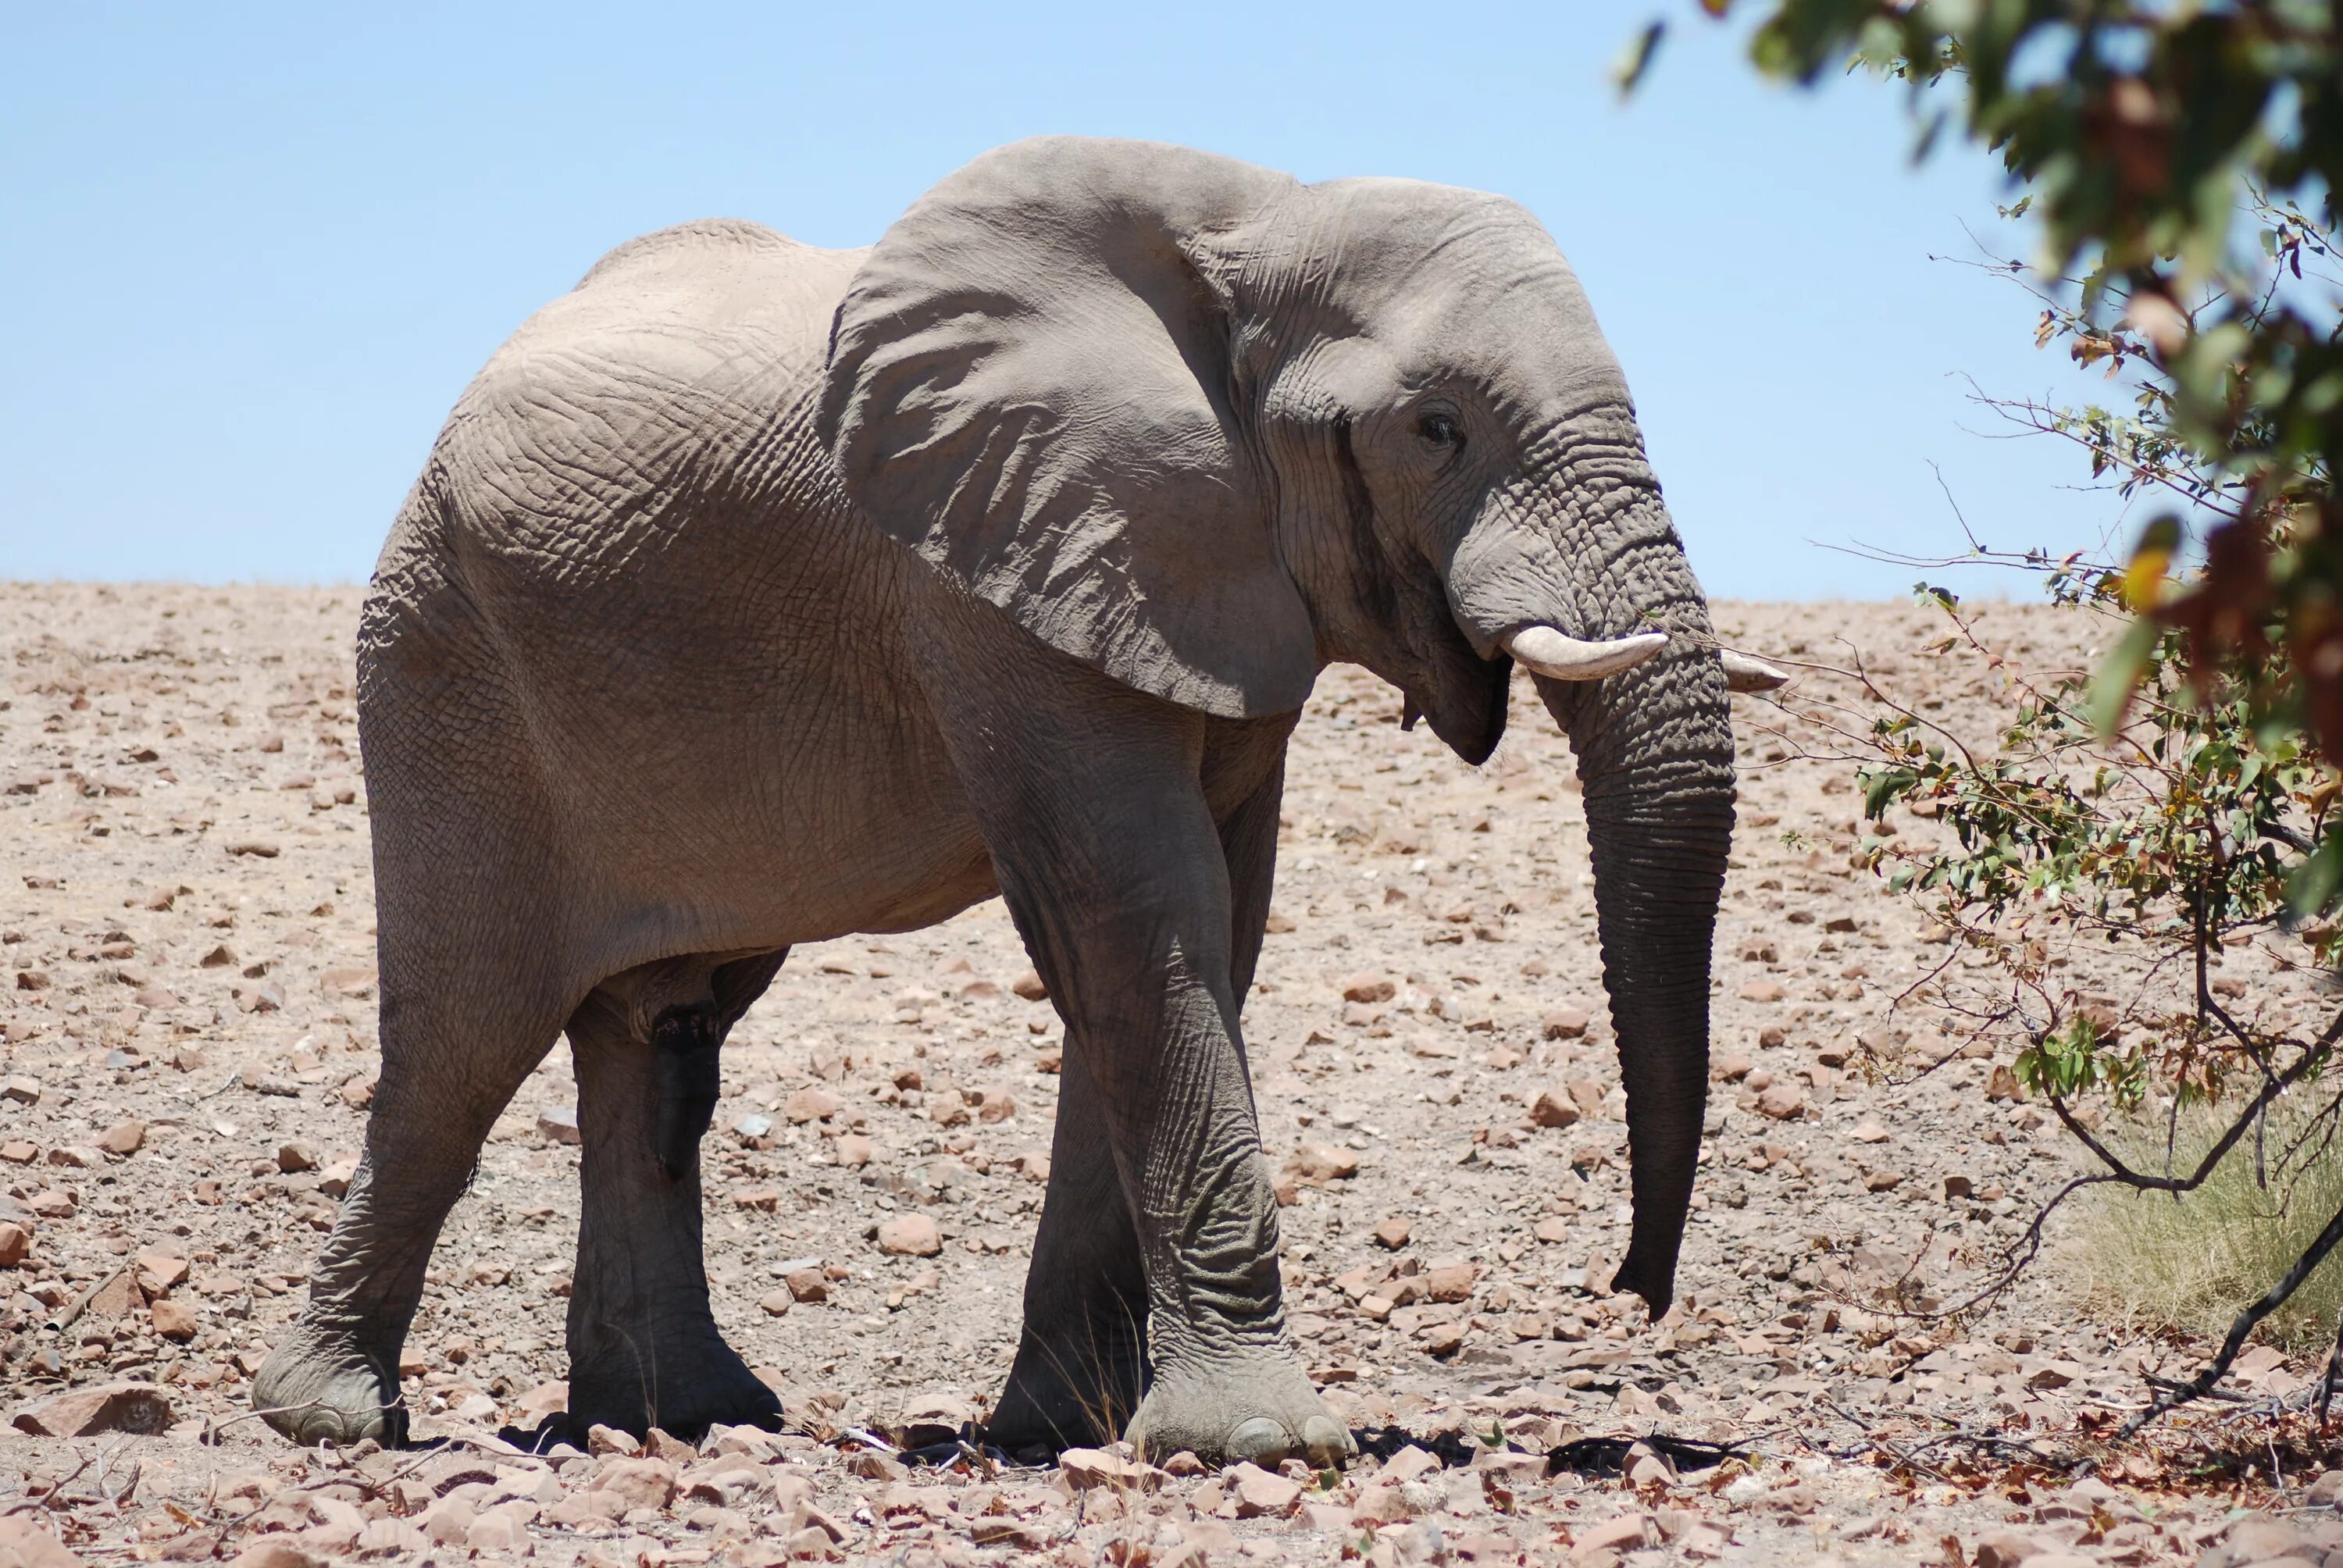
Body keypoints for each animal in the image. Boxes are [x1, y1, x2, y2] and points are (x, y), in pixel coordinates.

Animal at [251, 134, 1771, 1471]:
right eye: (1435, 429)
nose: (1632, 1292)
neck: (1257, 215)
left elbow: (1206, 930)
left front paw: (1062, 1431)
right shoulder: (995, 576)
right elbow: (1136, 912)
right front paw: (1260, 1444)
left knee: (665, 1033)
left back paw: (690, 1416)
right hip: (444, 664)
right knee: (464, 1038)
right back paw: (330, 1420)